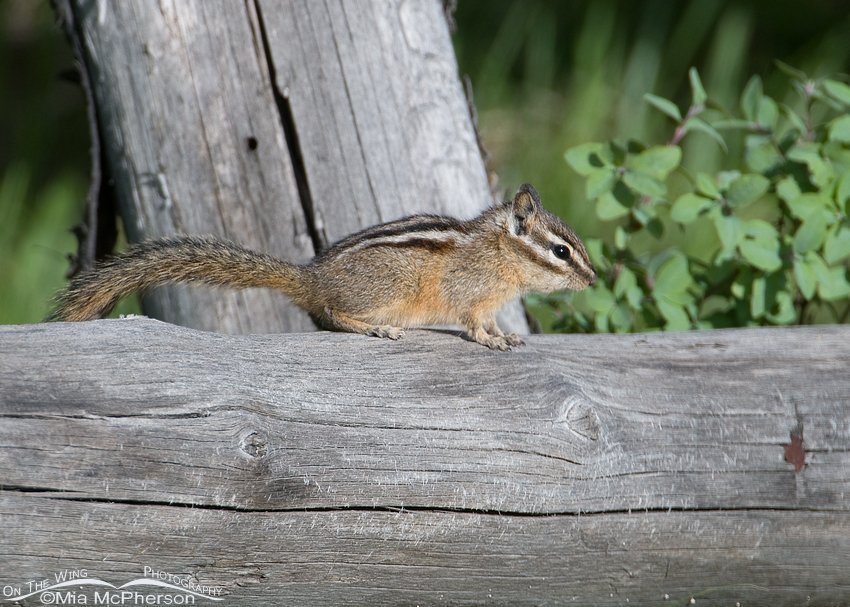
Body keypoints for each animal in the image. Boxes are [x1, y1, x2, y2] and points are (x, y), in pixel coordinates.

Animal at [48, 184, 595, 350]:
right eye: (561, 252)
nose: (592, 278)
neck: (500, 253)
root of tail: (310, 279)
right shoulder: (470, 296)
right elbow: (473, 323)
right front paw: (490, 340)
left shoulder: (493, 301)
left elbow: (495, 320)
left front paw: (508, 335)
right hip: (387, 290)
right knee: (333, 314)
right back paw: (375, 329)